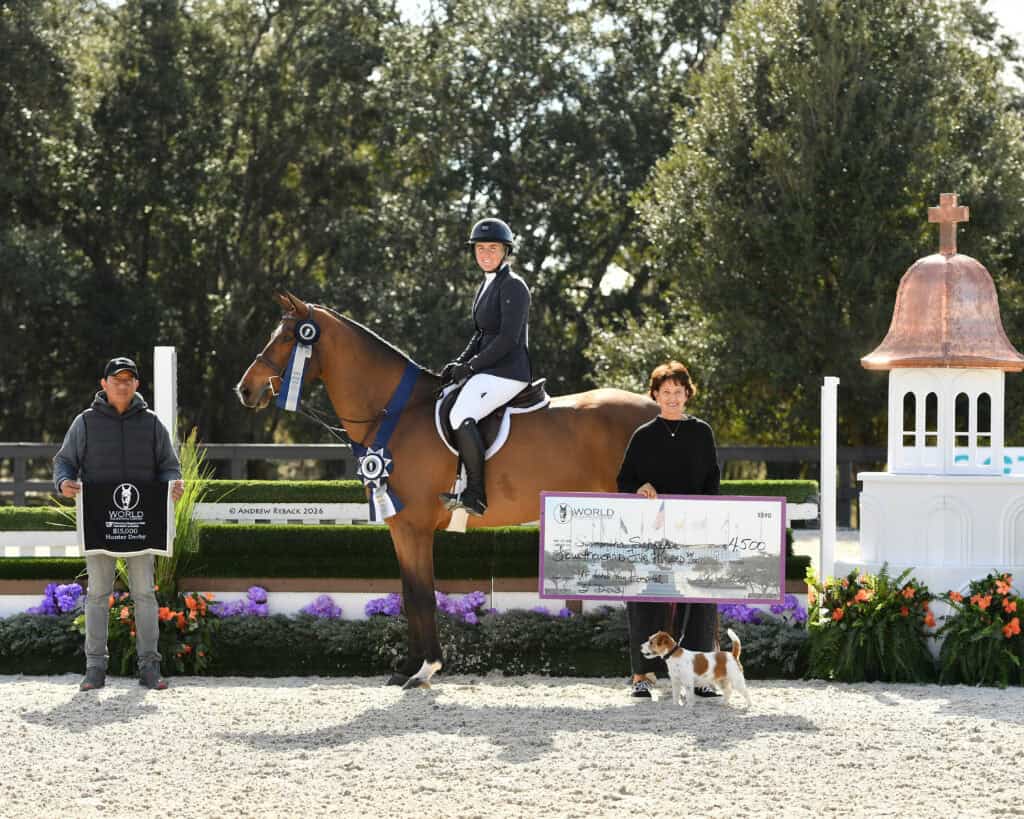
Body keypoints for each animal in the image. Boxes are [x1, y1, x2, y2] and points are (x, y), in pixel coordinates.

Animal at [236, 292, 657, 687]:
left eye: (288, 337)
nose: (245, 390)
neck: (398, 413)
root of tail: (659, 409)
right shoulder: (401, 528)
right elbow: (410, 594)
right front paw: (408, 668)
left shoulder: (414, 527)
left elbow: (423, 595)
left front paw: (425, 669)